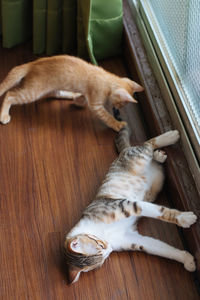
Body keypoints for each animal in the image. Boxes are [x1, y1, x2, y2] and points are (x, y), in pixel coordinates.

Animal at [0, 55, 144, 131]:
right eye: (122, 104)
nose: (117, 108)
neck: (107, 79)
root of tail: (32, 64)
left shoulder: (89, 95)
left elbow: (84, 98)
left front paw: (78, 101)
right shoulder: (96, 103)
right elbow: (106, 116)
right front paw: (118, 124)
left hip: (50, 86)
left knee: (55, 94)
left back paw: (72, 95)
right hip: (32, 92)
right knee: (10, 95)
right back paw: (4, 115)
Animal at [64, 118, 197, 282]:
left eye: (100, 246)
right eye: (101, 259)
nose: (109, 249)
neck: (104, 233)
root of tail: (122, 152)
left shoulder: (128, 205)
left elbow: (161, 212)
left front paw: (185, 219)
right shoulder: (132, 239)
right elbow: (161, 248)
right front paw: (187, 260)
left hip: (138, 157)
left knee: (147, 144)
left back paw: (171, 136)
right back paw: (159, 155)